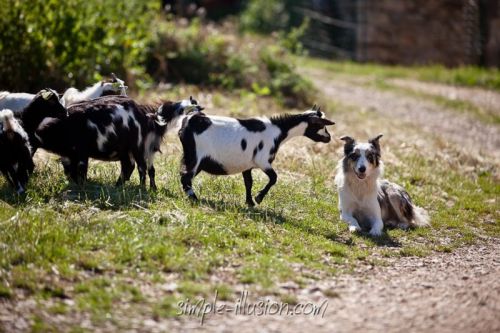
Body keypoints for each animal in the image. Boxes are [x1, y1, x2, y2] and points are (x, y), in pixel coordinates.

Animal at [34, 94, 202, 188]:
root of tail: (142, 112)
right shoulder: (70, 155)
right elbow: (70, 169)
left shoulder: (81, 153)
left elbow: (81, 170)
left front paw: (82, 186)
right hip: (125, 150)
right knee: (129, 167)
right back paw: (118, 186)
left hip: (136, 146)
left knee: (140, 168)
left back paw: (141, 188)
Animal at [178, 105, 334, 205]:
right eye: (321, 125)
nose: (329, 138)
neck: (279, 131)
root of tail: (190, 120)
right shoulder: (262, 160)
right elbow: (274, 178)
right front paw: (258, 198)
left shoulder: (247, 165)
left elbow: (249, 182)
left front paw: (250, 202)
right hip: (196, 156)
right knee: (186, 177)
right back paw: (194, 198)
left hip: (191, 156)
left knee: (184, 176)